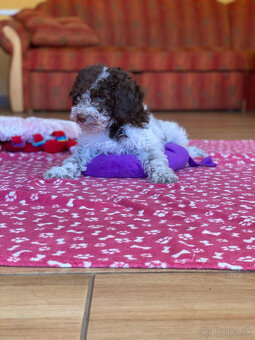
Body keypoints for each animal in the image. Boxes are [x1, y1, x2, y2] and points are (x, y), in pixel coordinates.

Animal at [43, 63, 205, 183]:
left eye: (102, 97)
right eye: (78, 96)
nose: (80, 117)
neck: (112, 126)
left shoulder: (146, 143)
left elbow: (155, 159)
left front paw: (163, 174)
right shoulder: (88, 146)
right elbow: (74, 159)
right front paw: (60, 170)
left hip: (174, 132)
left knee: (186, 147)